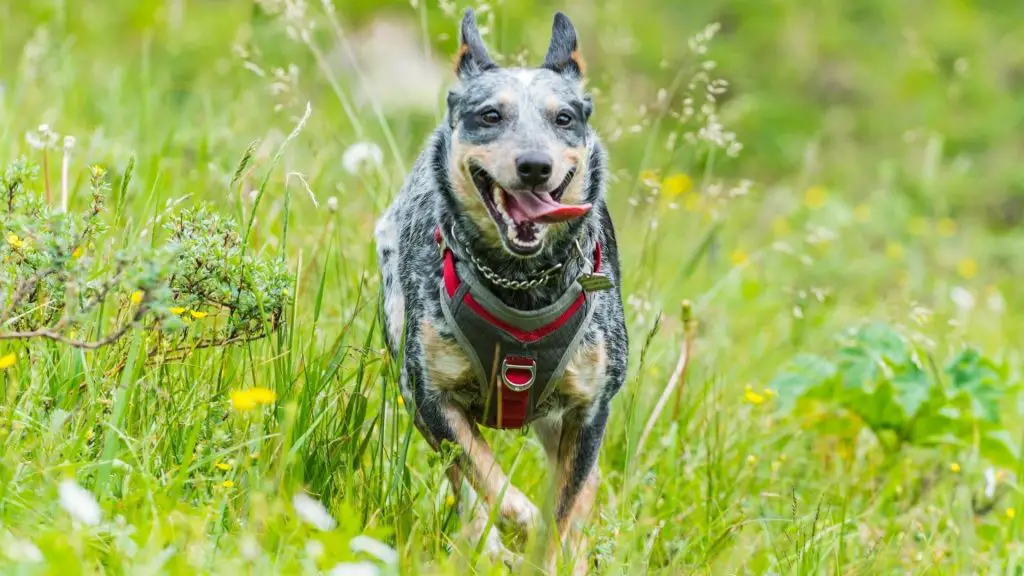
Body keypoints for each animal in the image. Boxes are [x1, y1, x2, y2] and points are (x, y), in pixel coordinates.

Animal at [376, 8, 626, 569]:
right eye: (490, 115)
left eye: (564, 118)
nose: (534, 165)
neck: (521, 283)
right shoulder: (429, 395)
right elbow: (485, 478)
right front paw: (513, 520)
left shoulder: (588, 411)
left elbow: (564, 508)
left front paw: (546, 553)